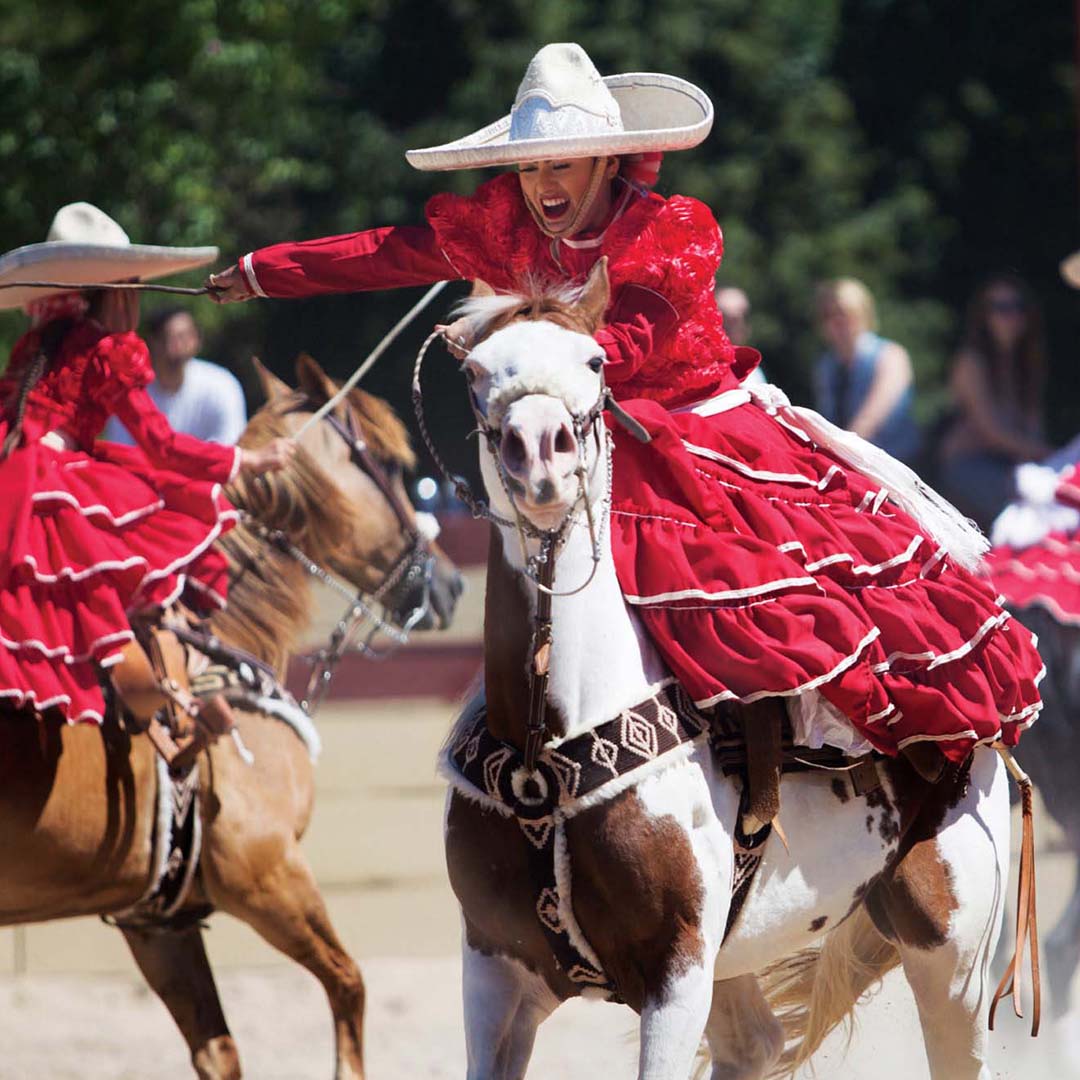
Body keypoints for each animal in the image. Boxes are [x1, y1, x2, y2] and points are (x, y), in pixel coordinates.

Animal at [0, 356, 460, 1080]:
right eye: (387, 462)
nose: (449, 583)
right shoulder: (265, 872)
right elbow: (349, 983)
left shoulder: (158, 920)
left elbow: (218, 1050)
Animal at [434, 261, 1015, 1080]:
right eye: (476, 370)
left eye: (595, 362)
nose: (539, 452)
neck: (547, 739)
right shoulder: (495, 971)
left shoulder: (674, 976)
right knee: (755, 1045)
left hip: (953, 959)